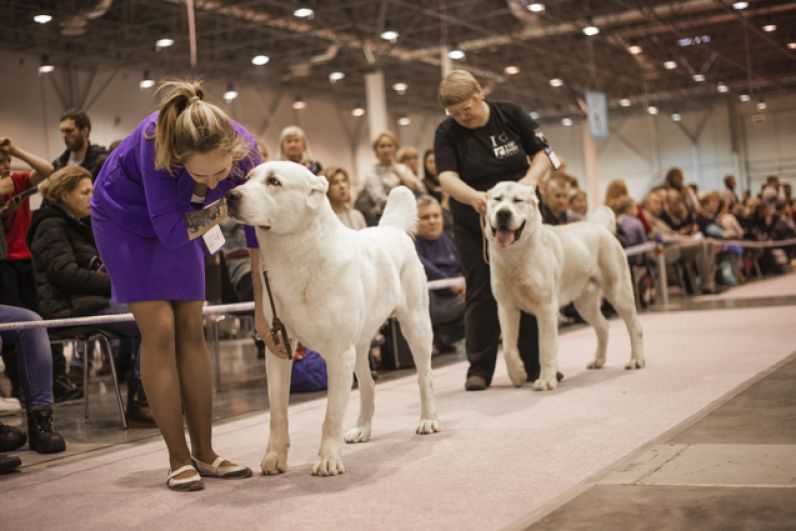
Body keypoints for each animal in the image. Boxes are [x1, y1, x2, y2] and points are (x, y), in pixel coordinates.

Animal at [225, 162, 442, 478]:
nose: (230, 196)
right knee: (369, 384)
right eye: (247, 178)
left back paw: (428, 420)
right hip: (361, 343)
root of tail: (390, 228)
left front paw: (328, 460)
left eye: (274, 182)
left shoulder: (339, 353)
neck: (297, 253)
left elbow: (331, 415)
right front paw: (274, 458)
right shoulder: (278, 349)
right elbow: (278, 413)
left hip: (415, 325)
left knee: (425, 377)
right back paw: (362, 429)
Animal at [482, 182, 644, 390]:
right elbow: (509, 348)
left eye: (518, 200)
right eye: (497, 199)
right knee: (603, 327)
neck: (515, 257)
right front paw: (518, 374)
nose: (503, 213)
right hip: (584, 305)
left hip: (619, 292)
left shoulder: (546, 310)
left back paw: (636, 360)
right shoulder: (506, 307)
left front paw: (546, 381)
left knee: (635, 328)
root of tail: (597, 225)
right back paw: (598, 360)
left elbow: (546, 348)